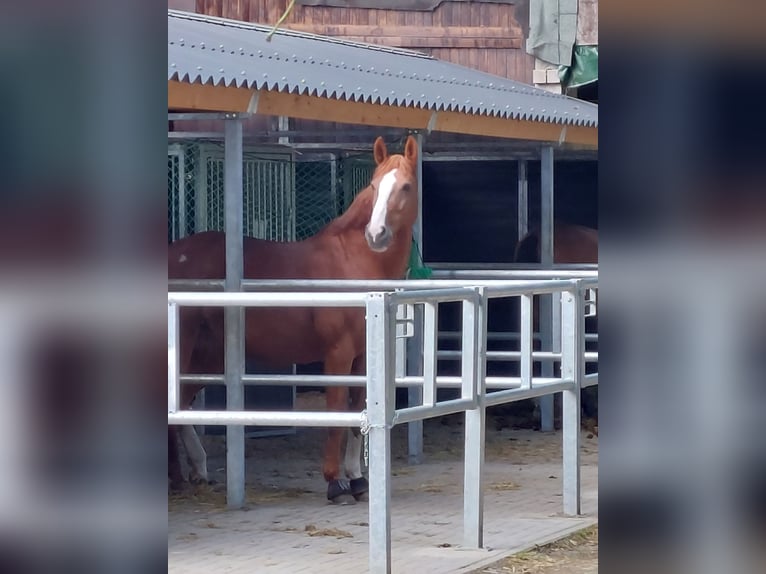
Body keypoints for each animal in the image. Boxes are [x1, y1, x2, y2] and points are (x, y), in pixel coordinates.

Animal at [168, 135, 420, 504]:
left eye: (405, 186)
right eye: (374, 186)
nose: (376, 234)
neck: (353, 261)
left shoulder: (362, 355)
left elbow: (358, 409)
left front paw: (358, 480)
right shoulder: (338, 353)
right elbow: (335, 412)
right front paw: (334, 484)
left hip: (209, 355)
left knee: (182, 402)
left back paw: (196, 471)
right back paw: (176, 478)